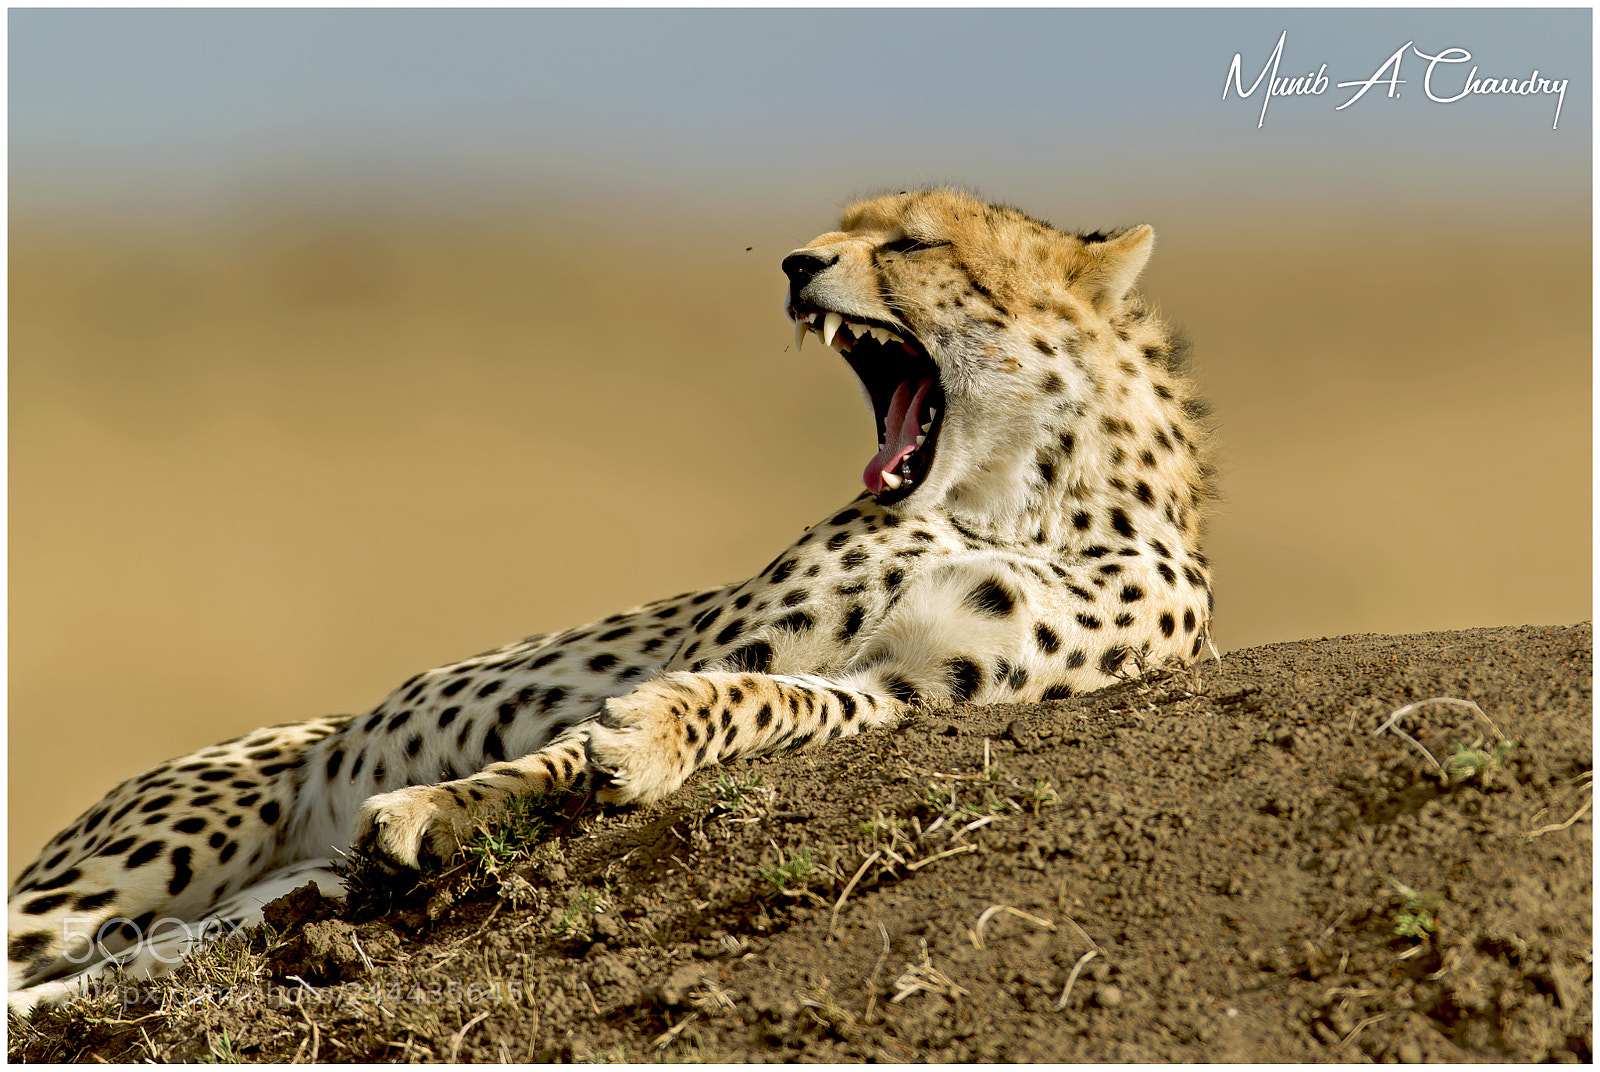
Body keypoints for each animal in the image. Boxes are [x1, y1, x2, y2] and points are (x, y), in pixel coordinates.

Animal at [7, 187, 1215, 1013]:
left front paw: (624, 754)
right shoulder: (742, 638)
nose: (795, 262)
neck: (1010, 500)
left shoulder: (917, 692)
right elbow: (583, 734)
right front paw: (451, 801)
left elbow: (771, 703)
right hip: (159, 851)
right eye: (838, 226)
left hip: (227, 909)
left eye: (915, 242)